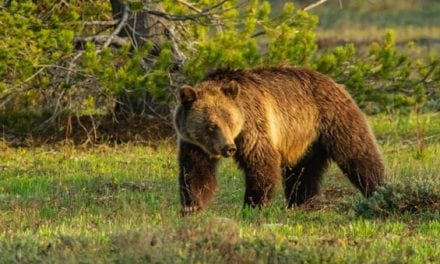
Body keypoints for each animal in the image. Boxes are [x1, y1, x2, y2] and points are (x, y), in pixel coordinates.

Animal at [173, 66, 384, 214]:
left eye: (230, 122)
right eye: (211, 126)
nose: (229, 148)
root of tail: (334, 82)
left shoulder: (254, 127)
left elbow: (261, 164)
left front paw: (253, 204)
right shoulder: (194, 144)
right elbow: (195, 172)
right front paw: (191, 206)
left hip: (332, 119)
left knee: (358, 154)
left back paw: (378, 189)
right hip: (306, 141)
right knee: (303, 172)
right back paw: (300, 202)